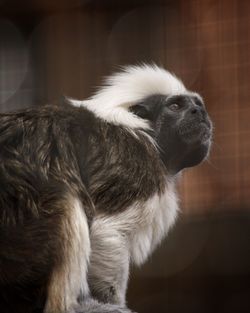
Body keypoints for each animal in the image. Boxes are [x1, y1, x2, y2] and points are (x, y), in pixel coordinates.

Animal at [0, 64, 212, 312]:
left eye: (197, 105)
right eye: (176, 106)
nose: (199, 112)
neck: (143, 132)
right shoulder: (134, 166)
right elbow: (108, 228)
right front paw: (107, 302)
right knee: (63, 196)